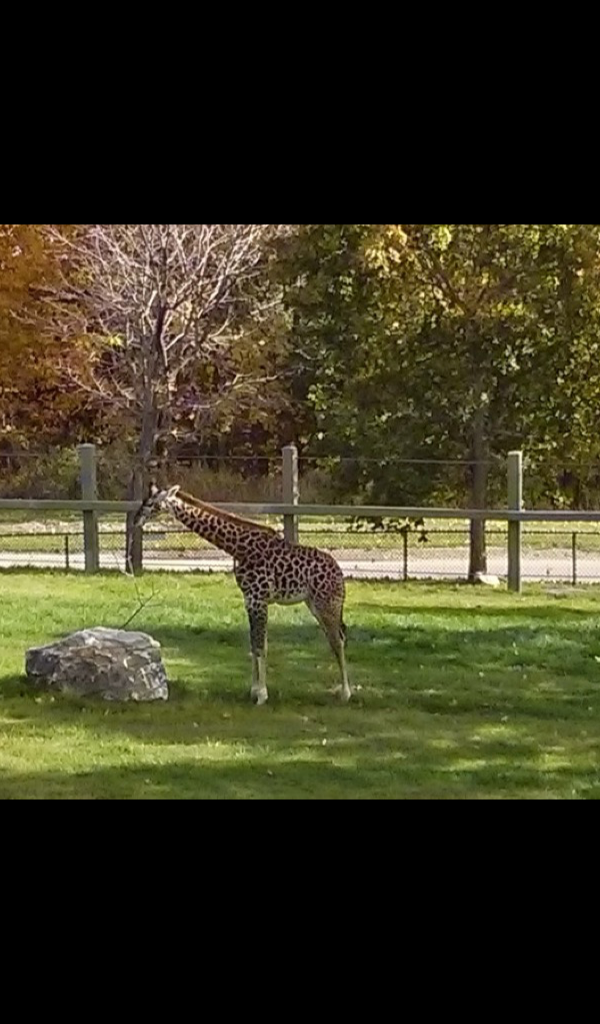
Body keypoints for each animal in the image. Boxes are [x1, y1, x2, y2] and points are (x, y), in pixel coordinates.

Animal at [133, 484, 351, 706]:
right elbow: (255, 645)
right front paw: (254, 691)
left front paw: (262, 695)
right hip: (314, 604)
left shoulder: (259, 599)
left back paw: (345, 693)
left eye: (151, 503)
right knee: (336, 638)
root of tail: (339, 574)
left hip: (327, 604)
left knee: (338, 640)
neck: (238, 548)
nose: (136, 520)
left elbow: (260, 646)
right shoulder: (249, 599)